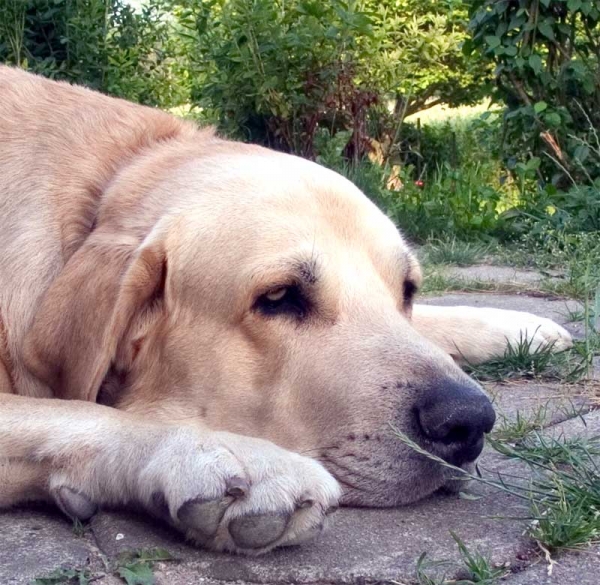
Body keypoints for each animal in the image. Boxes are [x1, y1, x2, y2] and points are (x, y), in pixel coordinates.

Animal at [0, 67, 572, 552]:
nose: (468, 422)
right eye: (278, 298)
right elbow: (78, 411)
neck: (111, 180)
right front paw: (225, 460)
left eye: (407, 289)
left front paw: (523, 327)